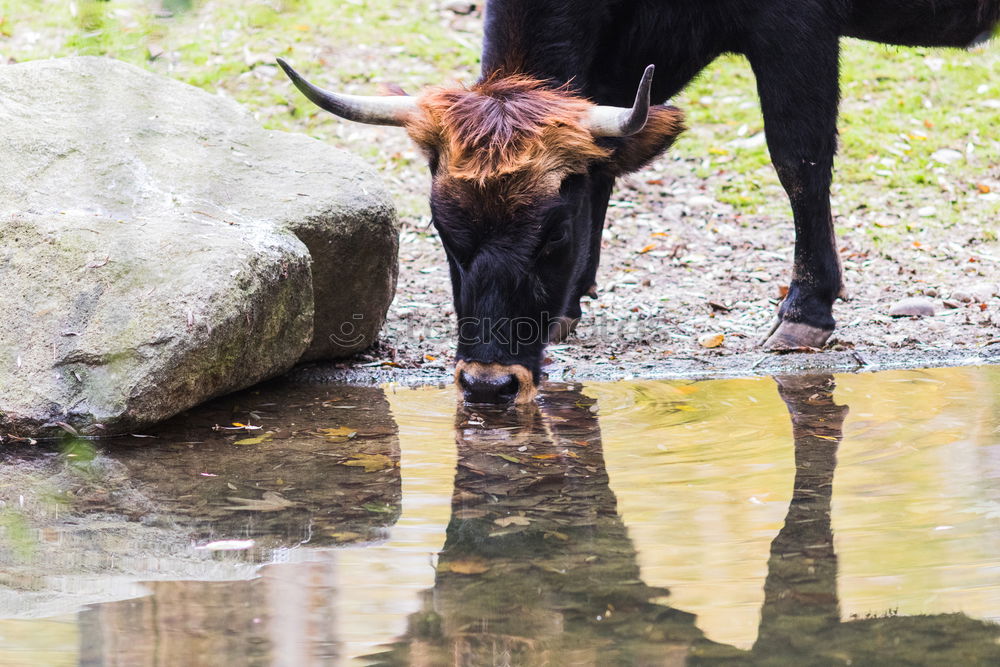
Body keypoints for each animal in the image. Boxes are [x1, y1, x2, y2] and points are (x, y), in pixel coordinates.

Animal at [276, 0, 1000, 404]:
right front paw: (572, 303)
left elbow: (800, 159)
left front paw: (805, 311)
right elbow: (602, 168)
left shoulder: (795, 31)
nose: (488, 383)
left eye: (553, 234)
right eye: (442, 231)